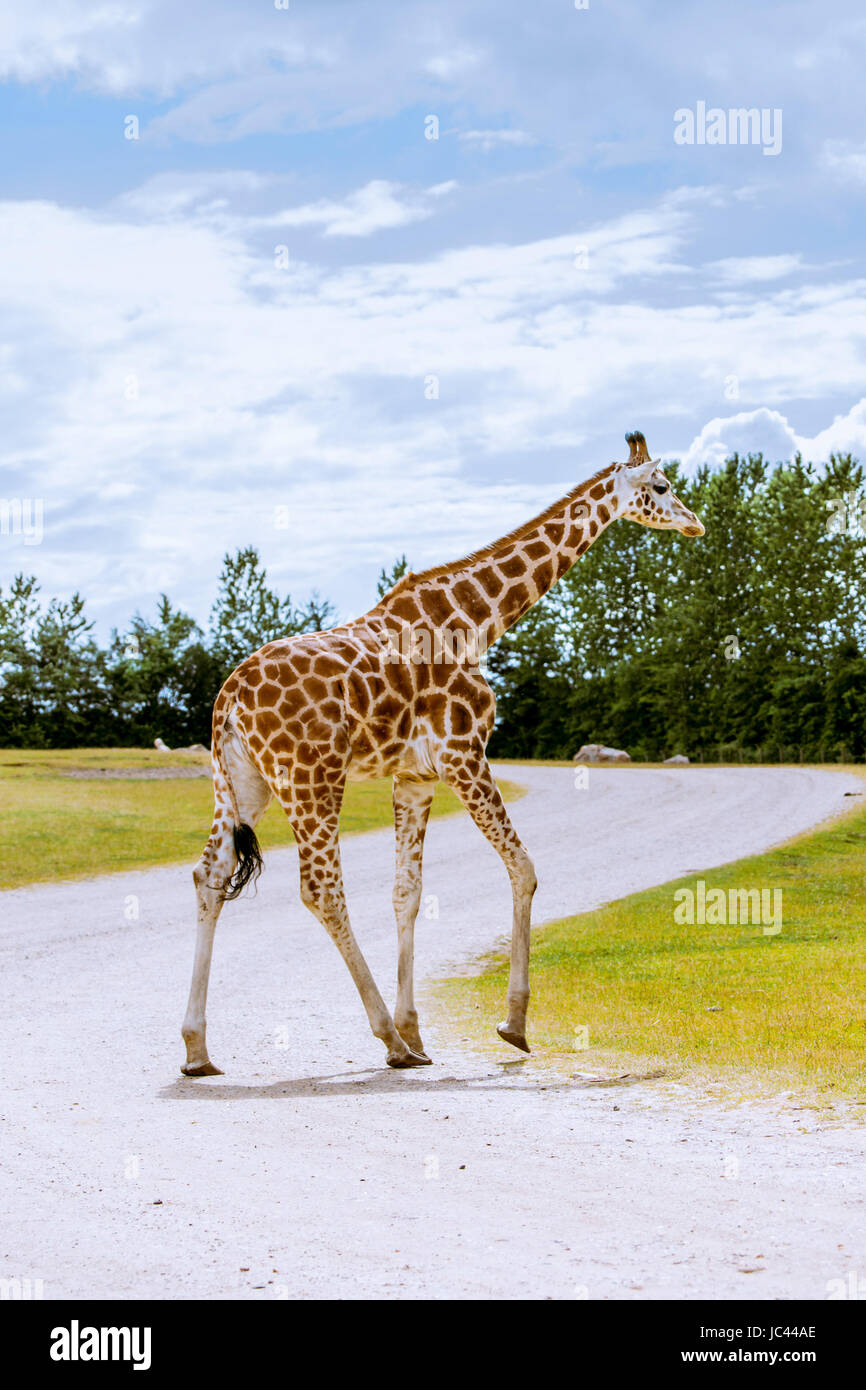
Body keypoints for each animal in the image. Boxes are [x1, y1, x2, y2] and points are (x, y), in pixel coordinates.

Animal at [180, 430, 706, 1073]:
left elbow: (407, 893)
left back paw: (198, 1049)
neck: (477, 622)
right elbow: (523, 867)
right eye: (662, 485)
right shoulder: (463, 753)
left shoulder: (416, 776)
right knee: (321, 890)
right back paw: (387, 1039)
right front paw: (511, 1024)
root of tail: (228, 700)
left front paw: (421, 1031)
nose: (695, 524)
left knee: (210, 873)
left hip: (241, 781)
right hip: (312, 776)